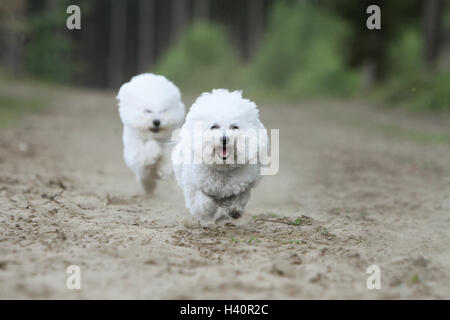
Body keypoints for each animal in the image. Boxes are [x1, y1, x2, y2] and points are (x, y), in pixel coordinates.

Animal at [171, 89, 266, 224]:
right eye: (214, 126)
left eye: (234, 127)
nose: (224, 139)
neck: (223, 167)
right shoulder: (194, 185)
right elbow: (204, 202)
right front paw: (207, 214)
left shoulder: (243, 185)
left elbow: (239, 198)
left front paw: (234, 210)